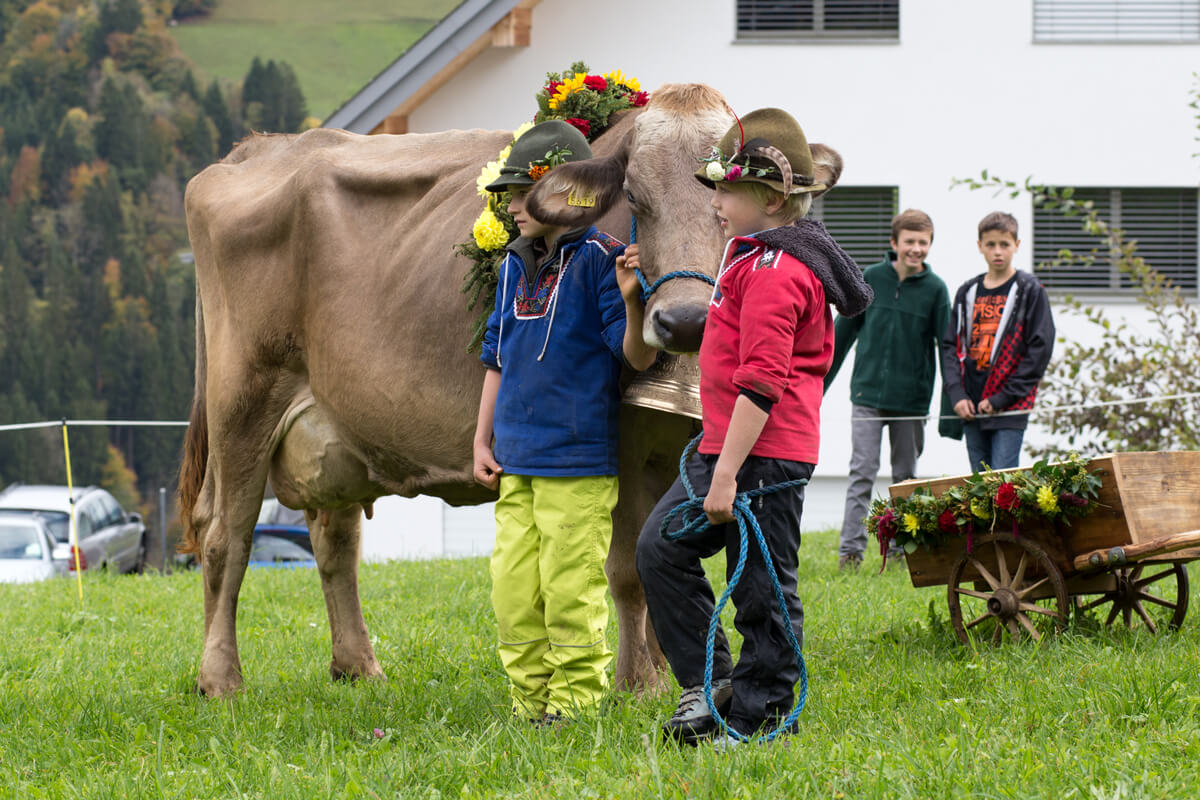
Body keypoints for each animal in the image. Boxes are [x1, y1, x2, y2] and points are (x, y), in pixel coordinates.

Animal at [180, 82, 729, 695]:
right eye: (633, 195)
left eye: (726, 196)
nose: (684, 321)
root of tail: (258, 148)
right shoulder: (623, 439)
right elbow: (627, 567)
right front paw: (639, 686)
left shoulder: (673, 438)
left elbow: (658, 547)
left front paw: (667, 680)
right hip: (243, 399)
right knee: (225, 534)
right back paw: (220, 679)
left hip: (336, 422)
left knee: (334, 541)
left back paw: (358, 667)